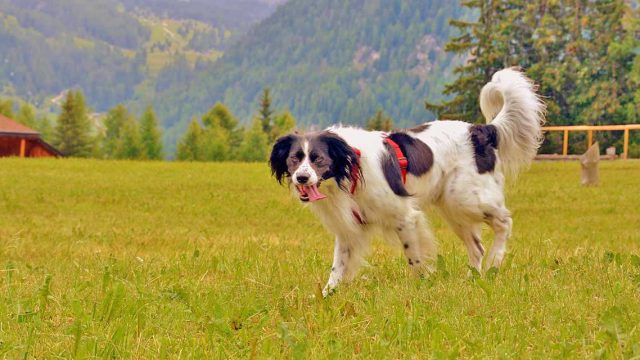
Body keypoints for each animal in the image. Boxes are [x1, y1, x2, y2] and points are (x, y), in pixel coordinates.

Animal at [268, 67, 544, 296]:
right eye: (294, 159)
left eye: (318, 159)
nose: (302, 178)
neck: (351, 168)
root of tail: (481, 130)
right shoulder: (349, 230)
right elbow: (337, 268)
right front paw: (325, 296)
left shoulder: (404, 217)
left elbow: (414, 256)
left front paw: (425, 283)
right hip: (453, 208)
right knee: (476, 247)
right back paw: (473, 279)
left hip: (466, 199)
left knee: (504, 222)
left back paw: (495, 263)